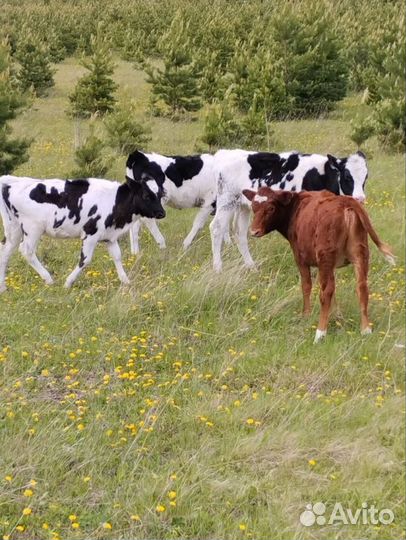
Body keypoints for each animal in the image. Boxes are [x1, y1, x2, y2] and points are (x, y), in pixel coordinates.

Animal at [0, 175, 165, 288]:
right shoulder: (90, 234)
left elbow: (117, 256)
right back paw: (49, 279)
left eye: (159, 194)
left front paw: (126, 281)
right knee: (26, 251)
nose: (162, 213)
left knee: (5, 252)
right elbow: (85, 260)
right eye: (146, 195)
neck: (114, 201)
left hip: (14, 229)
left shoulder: (110, 237)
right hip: (33, 228)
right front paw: (68, 282)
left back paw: (3, 288)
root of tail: (14, 183)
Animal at [209, 149, 368, 272]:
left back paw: (251, 267)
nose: (360, 198)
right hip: (227, 201)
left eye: (366, 177)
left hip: (243, 206)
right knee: (216, 228)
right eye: (347, 176)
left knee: (239, 232)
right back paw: (218, 269)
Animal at [243, 188, 394, 344]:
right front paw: (337, 316)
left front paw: (306, 315)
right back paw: (366, 330)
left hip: (325, 256)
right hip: (360, 253)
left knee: (326, 292)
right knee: (361, 288)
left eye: (271, 208)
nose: (254, 231)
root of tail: (345, 201)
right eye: (253, 207)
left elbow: (306, 286)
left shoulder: (300, 259)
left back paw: (320, 333)